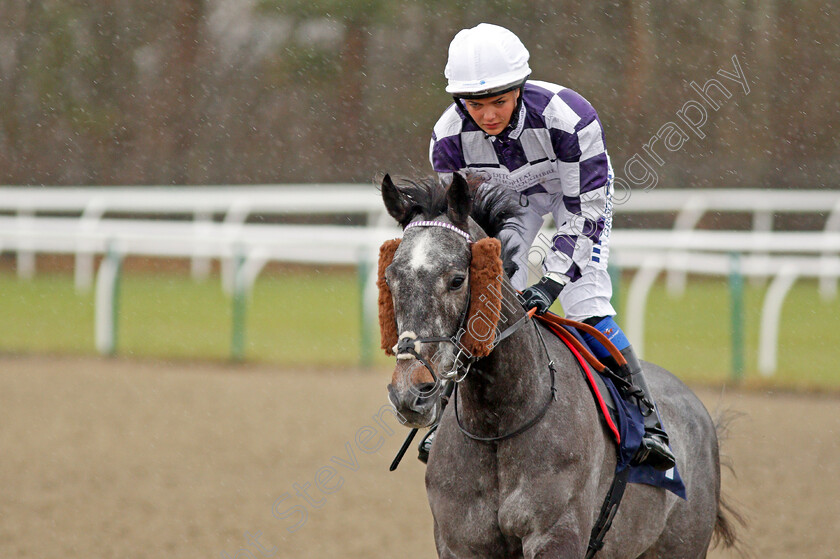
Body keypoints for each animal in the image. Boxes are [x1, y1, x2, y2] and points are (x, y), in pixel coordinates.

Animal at [378, 173, 740, 556]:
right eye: (390, 278)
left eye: (457, 279)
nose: (409, 394)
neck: (498, 423)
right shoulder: (460, 543)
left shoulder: (557, 535)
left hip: (683, 544)